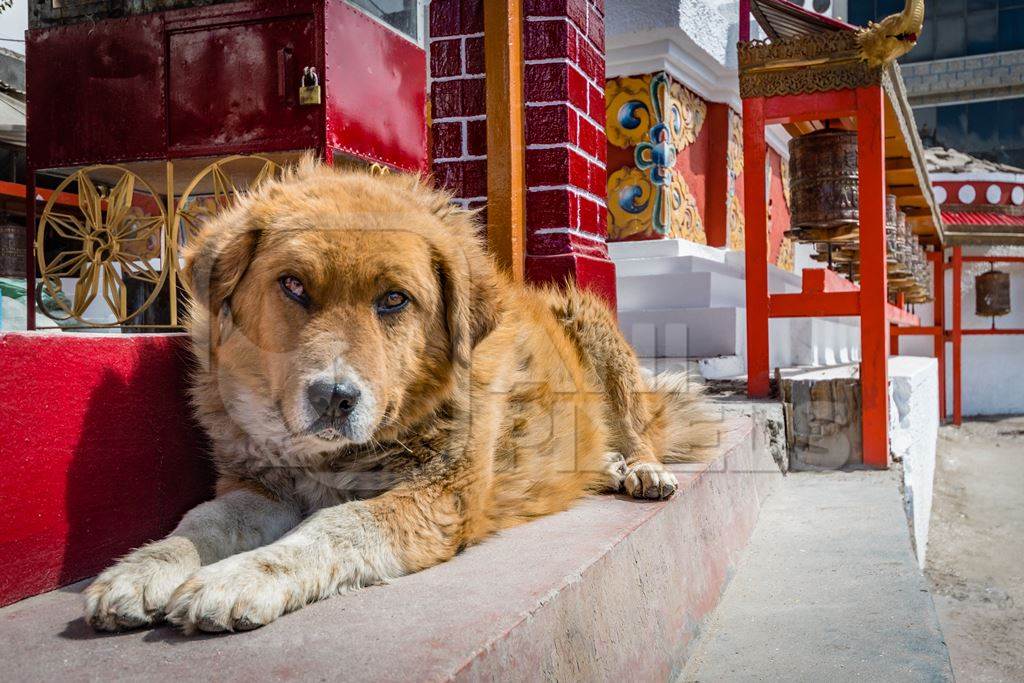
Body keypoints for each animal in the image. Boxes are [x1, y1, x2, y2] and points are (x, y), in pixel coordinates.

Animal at [83, 161, 716, 634]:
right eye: (292, 285)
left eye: (393, 300)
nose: (333, 397)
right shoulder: (261, 486)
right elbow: (203, 519)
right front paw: (144, 566)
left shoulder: (438, 497)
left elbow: (334, 526)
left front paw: (241, 577)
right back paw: (602, 466)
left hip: (592, 325)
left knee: (637, 427)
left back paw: (640, 469)